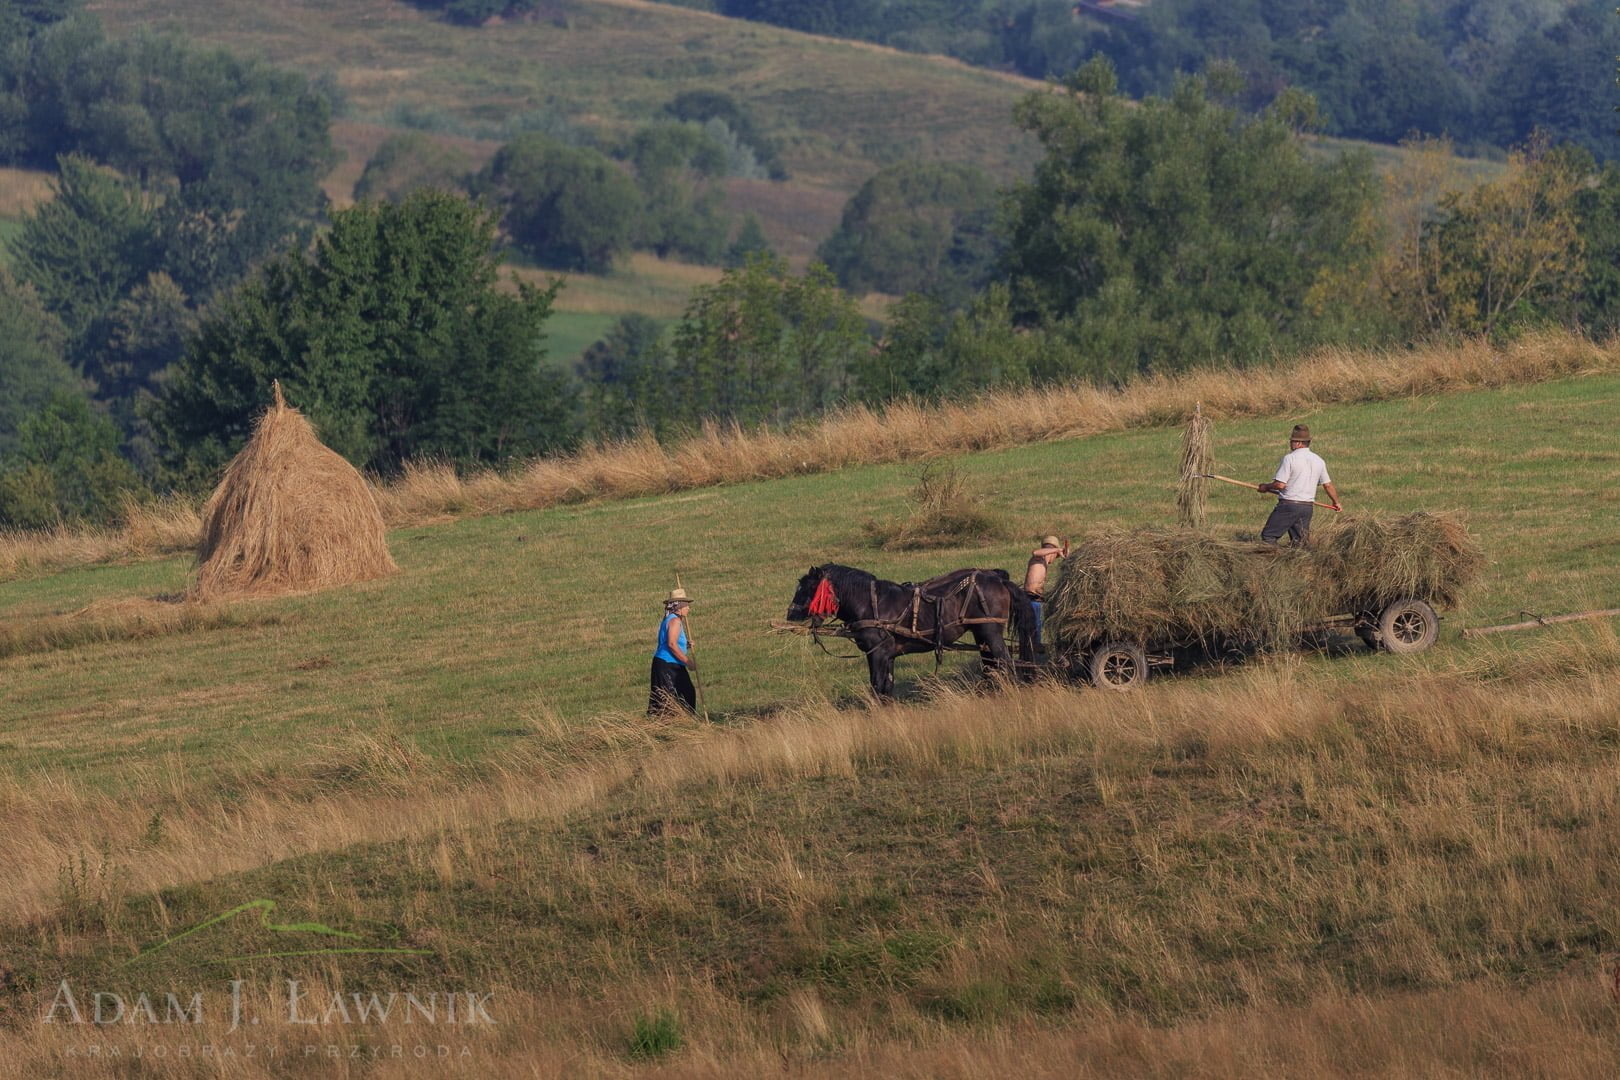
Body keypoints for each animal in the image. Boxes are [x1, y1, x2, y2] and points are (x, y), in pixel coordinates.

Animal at [784, 566, 1036, 702]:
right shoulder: (887, 655)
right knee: (991, 667)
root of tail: (998, 578)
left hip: (991, 632)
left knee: (1005, 664)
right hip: (981, 634)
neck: (871, 604)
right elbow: (887, 686)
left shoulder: (878, 653)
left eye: (808, 587)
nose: (791, 613)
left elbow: (877, 685)